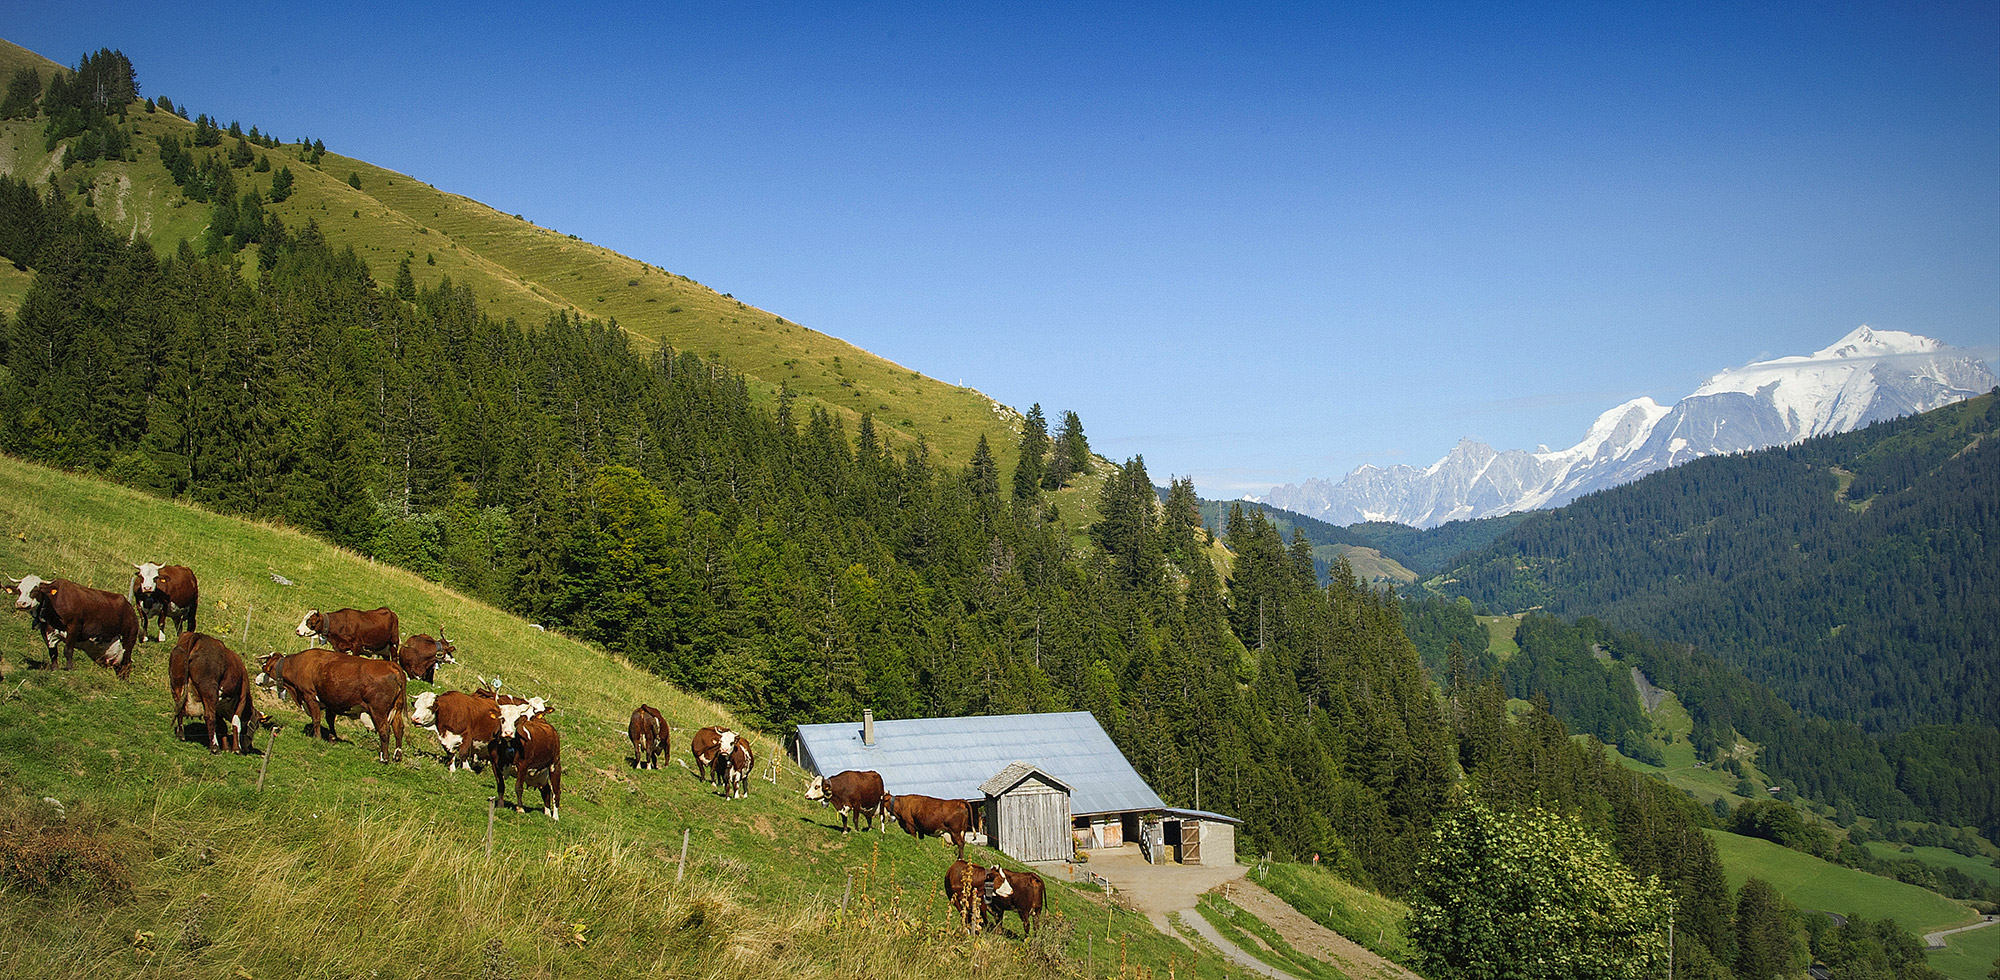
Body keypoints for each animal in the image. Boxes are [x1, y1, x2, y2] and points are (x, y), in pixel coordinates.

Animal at [5, 576, 139, 680]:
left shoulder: (74, 628)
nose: (20, 603)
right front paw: (54, 668)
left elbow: (68, 650)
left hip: (128, 642)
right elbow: (53, 652)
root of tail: (130, 609)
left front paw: (69, 668)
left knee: (127, 664)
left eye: (35, 590)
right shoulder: (47, 631)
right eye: (19, 590)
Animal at [260, 652, 412, 764]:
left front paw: (317, 738)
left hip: (378, 710)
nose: (257, 680)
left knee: (384, 730)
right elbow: (330, 720)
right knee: (399, 728)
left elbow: (316, 719)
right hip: (397, 708)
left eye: (265, 668)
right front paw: (332, 738)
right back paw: (397, 755)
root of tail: (392, 665)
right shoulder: (330, 702)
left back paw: (384, 758)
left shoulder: (309, 696)